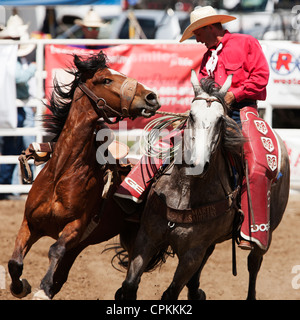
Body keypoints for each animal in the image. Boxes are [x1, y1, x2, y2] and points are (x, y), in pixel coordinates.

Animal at [8, 51, 161, 298]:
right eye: (106, 80)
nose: (151, 97)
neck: (61, 173)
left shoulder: (75, 227)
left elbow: (55, 249)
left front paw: (41, 289)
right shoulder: (30, 223)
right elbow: (15, 263)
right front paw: (21, 287)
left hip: (132, 239)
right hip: (82, 244)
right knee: (62, 276)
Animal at [116, 70, 290, 300]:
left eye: (220, 120)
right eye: (191, 116)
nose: (197, 163)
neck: (183, 191)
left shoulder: (192, 254)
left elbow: (171, 293)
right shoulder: (147, 237)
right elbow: (129, 286)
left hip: (264, 234)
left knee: (254, 263)